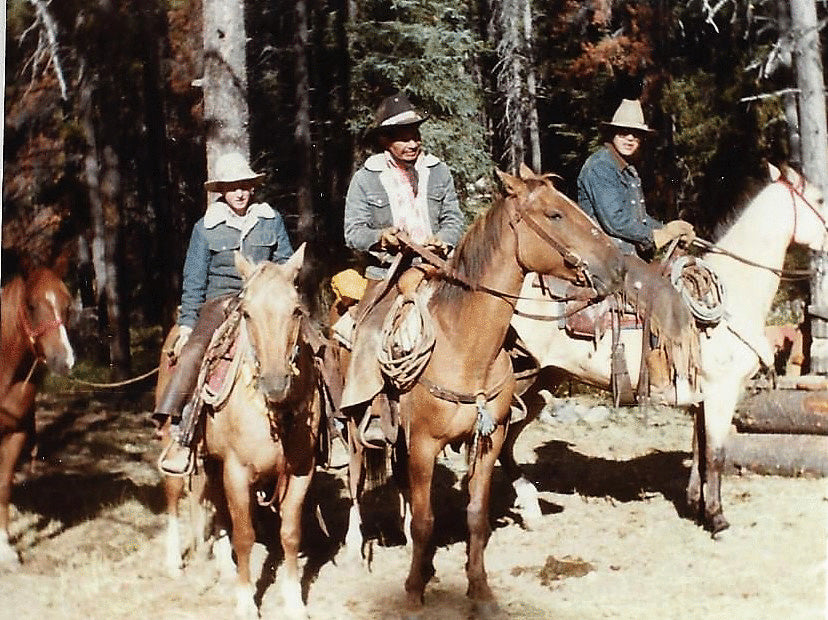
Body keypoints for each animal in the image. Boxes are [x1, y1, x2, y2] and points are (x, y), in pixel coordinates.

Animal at [157, 245, 322, 616]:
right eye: (247, 314)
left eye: (296, 310)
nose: (275, 382)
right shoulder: (237, 470)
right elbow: (244, 534)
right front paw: (246, 602)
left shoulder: (301, 472)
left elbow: (290, 533)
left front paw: (294, 601)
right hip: (175, 445)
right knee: (174, 495)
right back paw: (174, 562)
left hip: (213, 460)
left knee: (216, 506)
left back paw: (223, 565)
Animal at [340, 165, 624, 616]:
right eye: (554, 214)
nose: (617, 265)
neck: (463, 346)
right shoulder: (423, 444)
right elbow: (426, 520)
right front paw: (414, 593)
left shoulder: (489, 439)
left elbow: (475, 515)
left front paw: (480, 589)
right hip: (353, 427)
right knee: (355, 484)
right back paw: (355, 550)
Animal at [504, 163, 828, 532]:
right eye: (819, 199)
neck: (734, 291)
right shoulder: (722, 391)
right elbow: (716, 454)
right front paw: (717, 518)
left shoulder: (702, 396)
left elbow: (700, 450)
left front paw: (696, 505)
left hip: (542, 382)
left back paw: (529, 507)